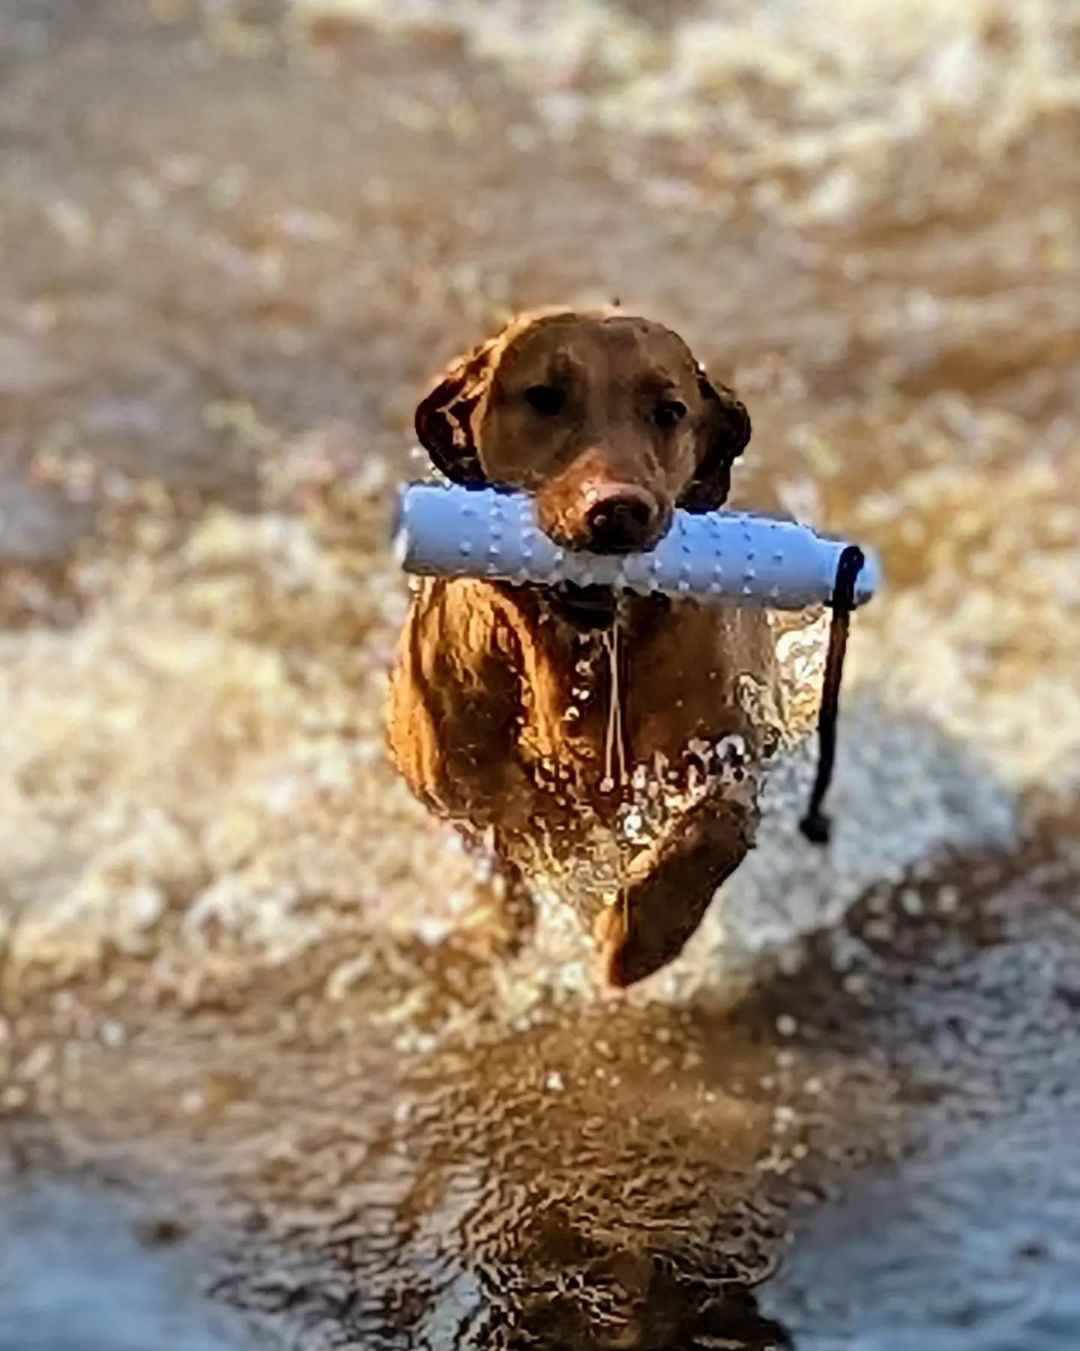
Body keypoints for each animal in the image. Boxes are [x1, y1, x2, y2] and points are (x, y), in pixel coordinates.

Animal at [383, 309, 783, 983]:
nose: (619, 510)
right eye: (544, 397)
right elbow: (499, 856)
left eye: (669, 410)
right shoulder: (461, 793)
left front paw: (641, 938)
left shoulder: (728, 739)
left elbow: (717, 825)